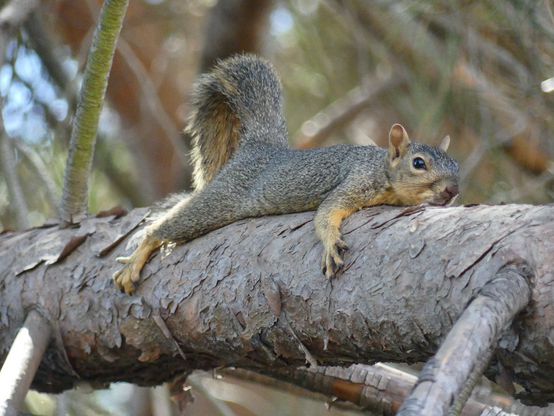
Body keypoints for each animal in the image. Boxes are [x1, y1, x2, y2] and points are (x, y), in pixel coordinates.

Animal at [112, 53, 458, 294]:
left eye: (456, 166)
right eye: (418, 163)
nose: (452, 191)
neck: (381, 168)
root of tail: (260, 147)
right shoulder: (355, 181)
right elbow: (327, 212)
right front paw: (331, 244)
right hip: (220, 201)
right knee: (165, 226)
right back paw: (136, 258)